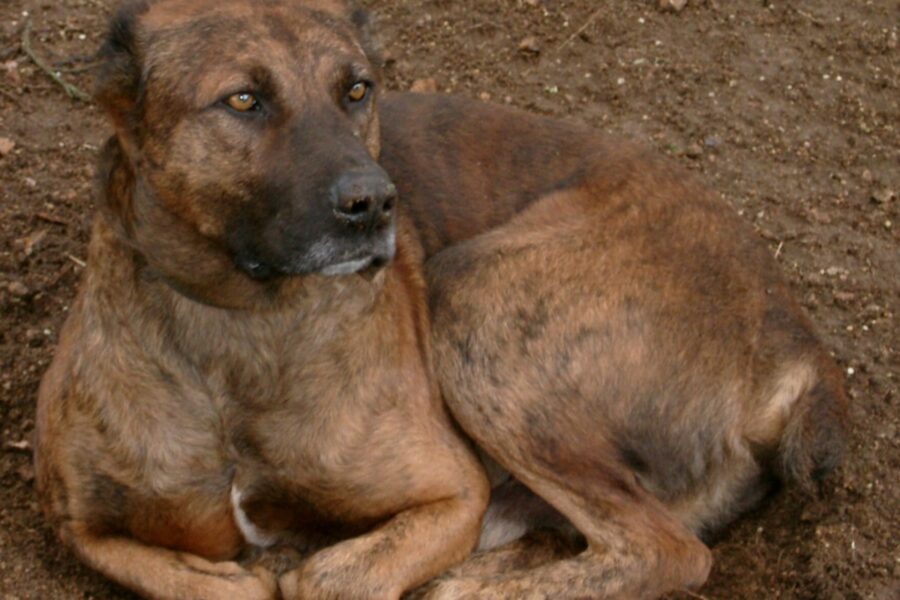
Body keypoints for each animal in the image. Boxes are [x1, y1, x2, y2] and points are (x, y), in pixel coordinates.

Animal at [33, 1, 852, 600]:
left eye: (357, 90)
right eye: (243, 99)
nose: (375, 202)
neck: (236, 324)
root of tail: (795, 338)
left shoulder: (451, 491)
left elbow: (329, 578)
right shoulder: (81, 525)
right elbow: (207, 583)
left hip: (476, 296)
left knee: (663, 549)